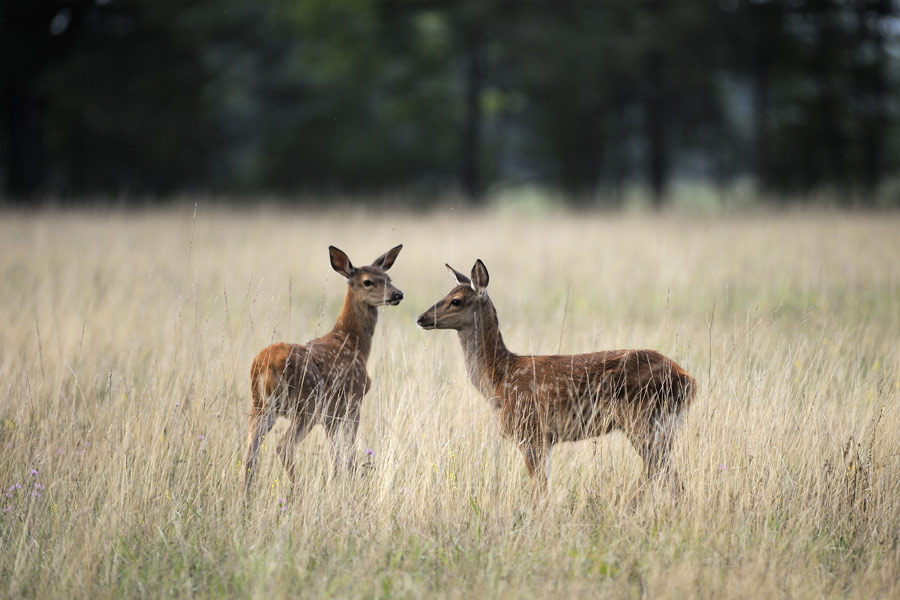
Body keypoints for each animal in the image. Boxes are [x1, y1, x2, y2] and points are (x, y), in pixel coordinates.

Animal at [243, 244, 404, 496]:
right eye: (368, 281)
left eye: (388, 278)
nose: (397, 294)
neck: (353, 343)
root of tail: (266, 364)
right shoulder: (353, 401)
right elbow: (348, 454)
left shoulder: (331, 416)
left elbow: (336, 457)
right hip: (307, 403)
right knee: (284, 446)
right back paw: (297, 493)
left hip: (261, 406)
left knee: (250, 452)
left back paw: (245, 499)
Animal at [414, 260, 696, 500]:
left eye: (456, 300)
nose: (421, 318)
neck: (498, 378)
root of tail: (688, 380)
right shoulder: (545, 439)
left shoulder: (531, 431)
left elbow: (539, 490)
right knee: (667, 473)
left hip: (642, 418)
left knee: (660, 471)